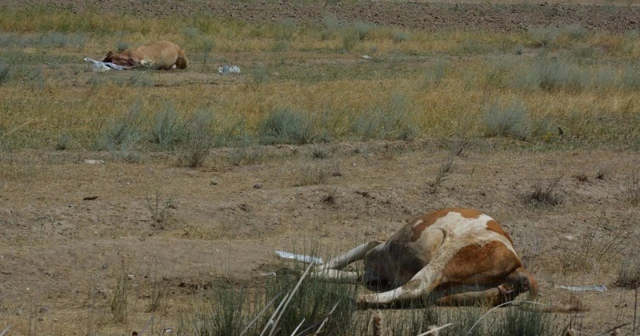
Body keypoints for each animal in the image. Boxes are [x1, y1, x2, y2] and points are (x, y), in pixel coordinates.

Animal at [302, 207, 588, 312]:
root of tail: (519, 267)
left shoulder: (376, 248)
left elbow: (350, 256)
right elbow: (338, 271)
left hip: (452, 253)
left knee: (417, 285)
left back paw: (360, 300)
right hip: (455, 293)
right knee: (417, 294)